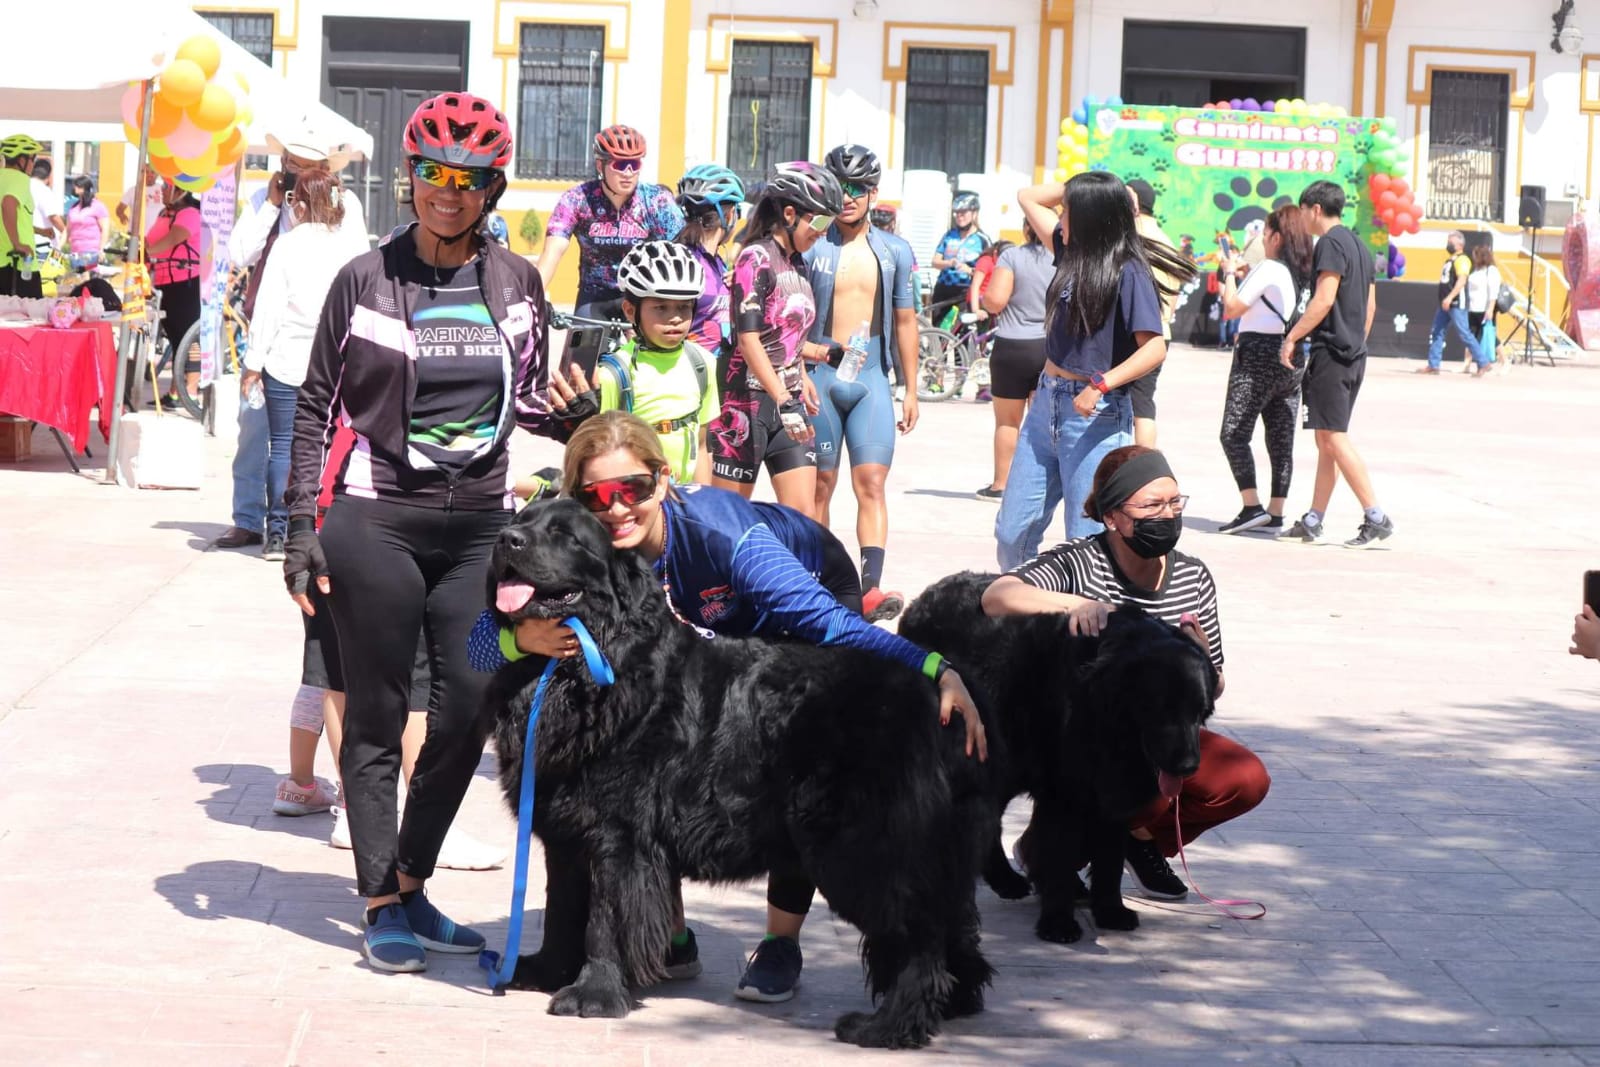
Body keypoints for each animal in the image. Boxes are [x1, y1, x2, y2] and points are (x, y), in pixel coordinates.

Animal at [480, 502, 992, 1049]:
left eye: (565, 535)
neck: (574, 666)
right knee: (949, 925)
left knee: (918, 940)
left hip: (860, 849)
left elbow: (604, 919)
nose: (506, 539)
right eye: (522, 518)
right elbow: (560, 909)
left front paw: (593, 995)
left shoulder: (616, 837)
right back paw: (954, 1003)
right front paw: (545, 970)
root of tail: (938, 701)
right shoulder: (565, 831)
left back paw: (887, 1026)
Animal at [902, 572, 1209, 947]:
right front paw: (1058, 923)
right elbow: (1059, 855)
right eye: (1161, 710)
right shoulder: (1063, 792)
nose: (1189, 766)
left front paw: (1110, 911)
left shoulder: (1109, 793)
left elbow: (1109, 857)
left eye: (1198, 712)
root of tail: (920, 601)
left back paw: (1006, 881)